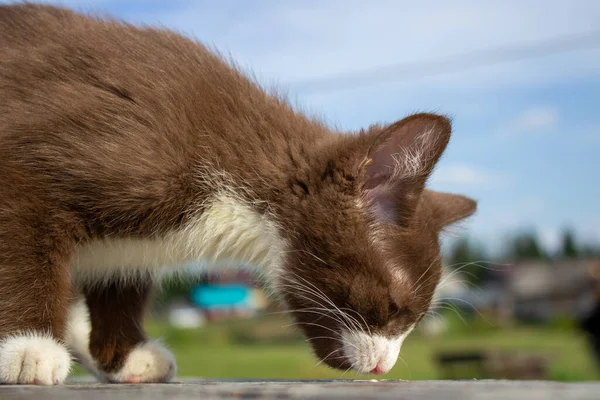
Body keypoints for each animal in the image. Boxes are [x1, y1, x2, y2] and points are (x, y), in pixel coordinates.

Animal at [0, 2, 478, 384]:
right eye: (395, 307)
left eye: (415, 317)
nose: (384, 365)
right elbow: (22, 238)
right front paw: (28, 348)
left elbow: (119, 275)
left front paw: (126, 355)